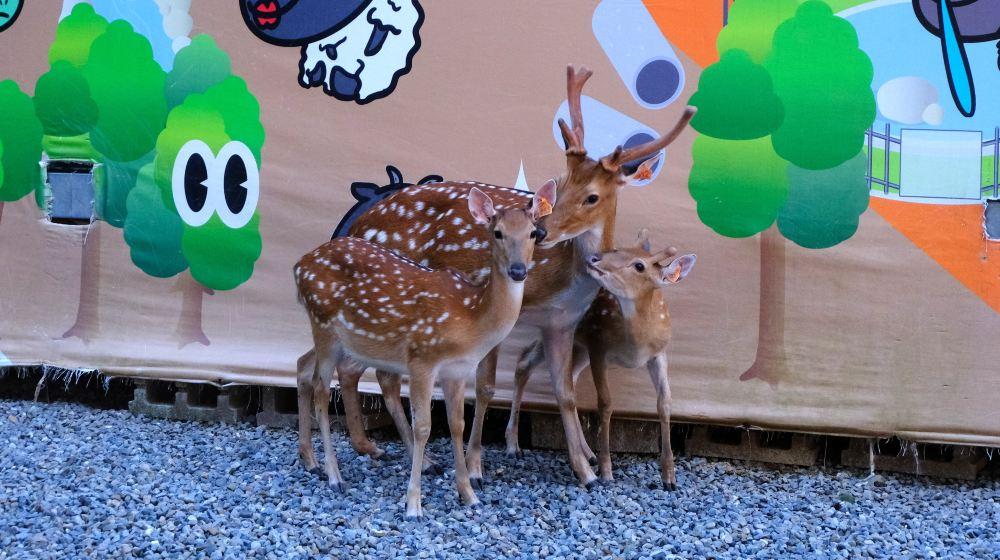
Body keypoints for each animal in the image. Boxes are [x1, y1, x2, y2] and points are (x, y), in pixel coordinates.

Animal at [294, 185, 554, 518]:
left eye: (534, 233)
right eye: (497, 232)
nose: (518, 270)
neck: (471, 318)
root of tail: (299, 266)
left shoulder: (458, 370)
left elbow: (457, 425)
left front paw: (468, 493)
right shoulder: (422, 358)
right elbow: (423, 427)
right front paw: (413, 504)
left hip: (342, 340)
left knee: (306, 367)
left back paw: (312, 461)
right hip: (324, 327)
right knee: (322, 392)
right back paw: (334, 476)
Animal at [504, 231, 696, 489]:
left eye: (639, 265)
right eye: (617, 250)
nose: (595, 259)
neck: (636, 345)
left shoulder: (659, 353)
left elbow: (664, 403)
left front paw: (669, 477)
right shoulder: (598, 347)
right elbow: (605, 404)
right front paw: (607, 470)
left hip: (577, 345)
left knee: (565, 378)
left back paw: (587, 454)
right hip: (563, 333)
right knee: (525, 361)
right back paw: (514, 445)